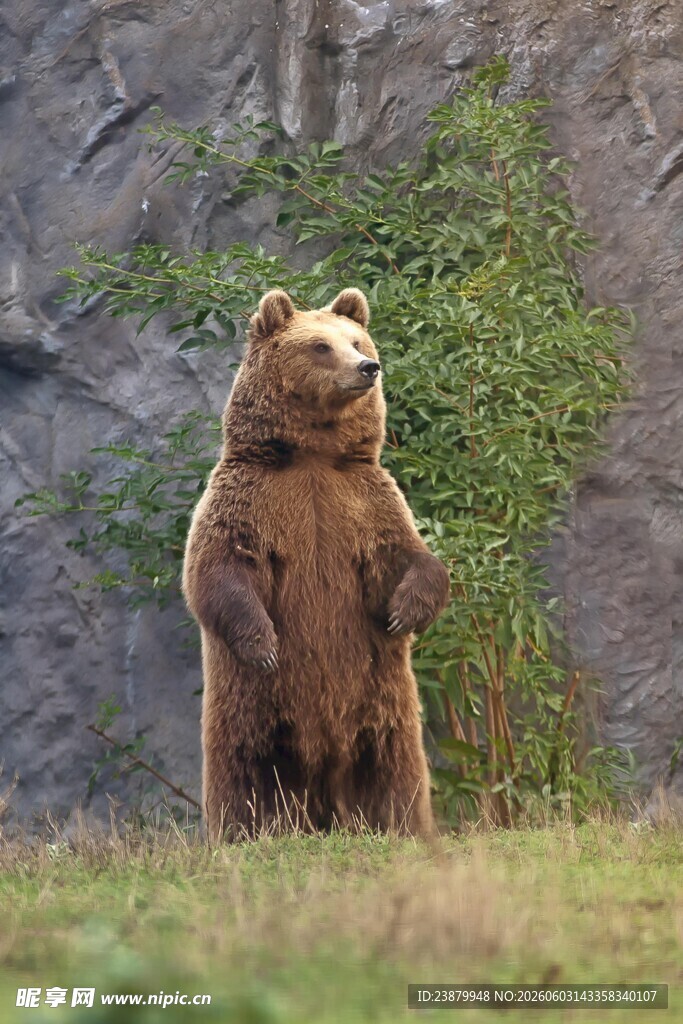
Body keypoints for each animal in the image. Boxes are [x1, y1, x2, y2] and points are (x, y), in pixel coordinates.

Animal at [182, 287, 450, 841]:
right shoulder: (249, 500)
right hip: (254, 709)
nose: (368, 367)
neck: (312, 456)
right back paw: (244, 831)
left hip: (381, 700)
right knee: (245, 768)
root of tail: (323, 795)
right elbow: (218, 571)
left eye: (357, 340)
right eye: (320, 346)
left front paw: (404, 611)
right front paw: (262, 644)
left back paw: (400, 825)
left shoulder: (365, 501)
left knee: (394, 766)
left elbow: (411, 556)